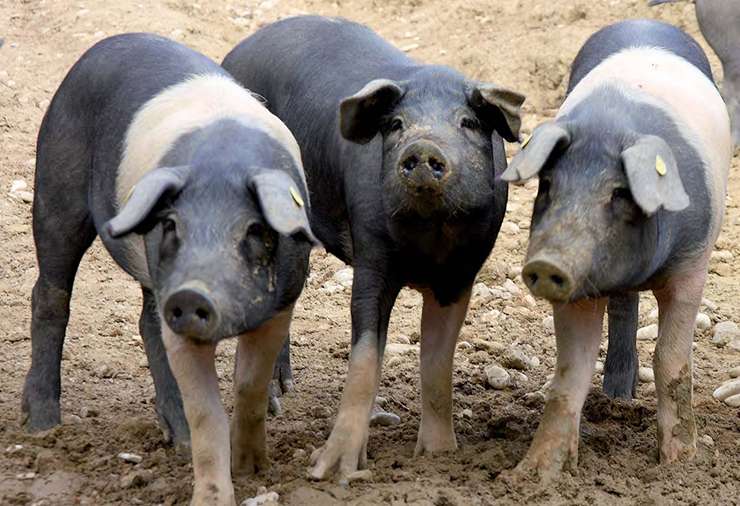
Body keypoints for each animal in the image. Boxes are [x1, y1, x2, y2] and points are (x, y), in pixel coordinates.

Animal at [21, 33, 315, 504]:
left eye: (253, 230)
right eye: (173, 225)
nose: (192, 293)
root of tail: (106, 44)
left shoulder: (285, 297)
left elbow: (251, 383)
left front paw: (253, 465)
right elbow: (204, 409)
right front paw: (206, 469)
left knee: (145, 320)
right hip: (54, 178)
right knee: (49, 294)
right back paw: (44, 427)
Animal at [222, 15, 525, 482]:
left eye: (468, 123)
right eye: (397, 124)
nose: (424, 147)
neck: (428, 237)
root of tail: (236, 52)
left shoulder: (462, 274)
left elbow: (438, 363)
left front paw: (440, 456)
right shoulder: (370, 255)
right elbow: (364, 357)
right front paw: (331, 471)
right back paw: (276, 401)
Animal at [501, 19, 731, 482]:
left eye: (620, 193)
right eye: (548, 185)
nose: (547, 263)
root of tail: (645, 22)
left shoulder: (692, 266)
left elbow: (670, 359)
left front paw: (679, 465)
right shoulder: (578, 288)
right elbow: (570, 371)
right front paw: (532, 476)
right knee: (624, 308)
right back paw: (616, 396)